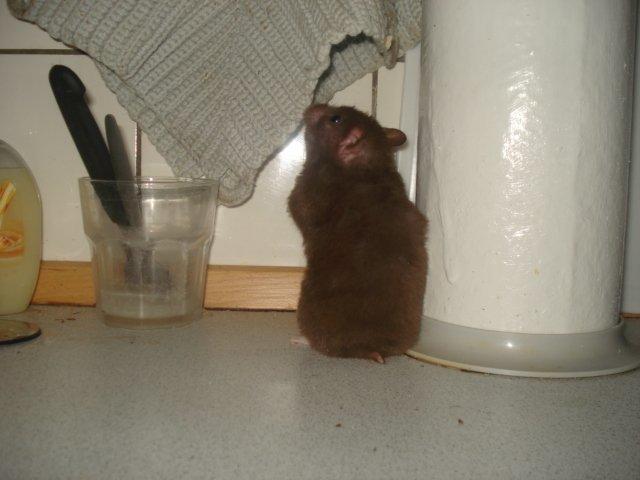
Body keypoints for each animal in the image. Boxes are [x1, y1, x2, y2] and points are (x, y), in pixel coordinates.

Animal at [288, 104, 427, 363]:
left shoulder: (304, 195)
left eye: (335, 119)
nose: (312, 106)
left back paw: (298, 340)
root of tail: (371, 347)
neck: (369, 163)